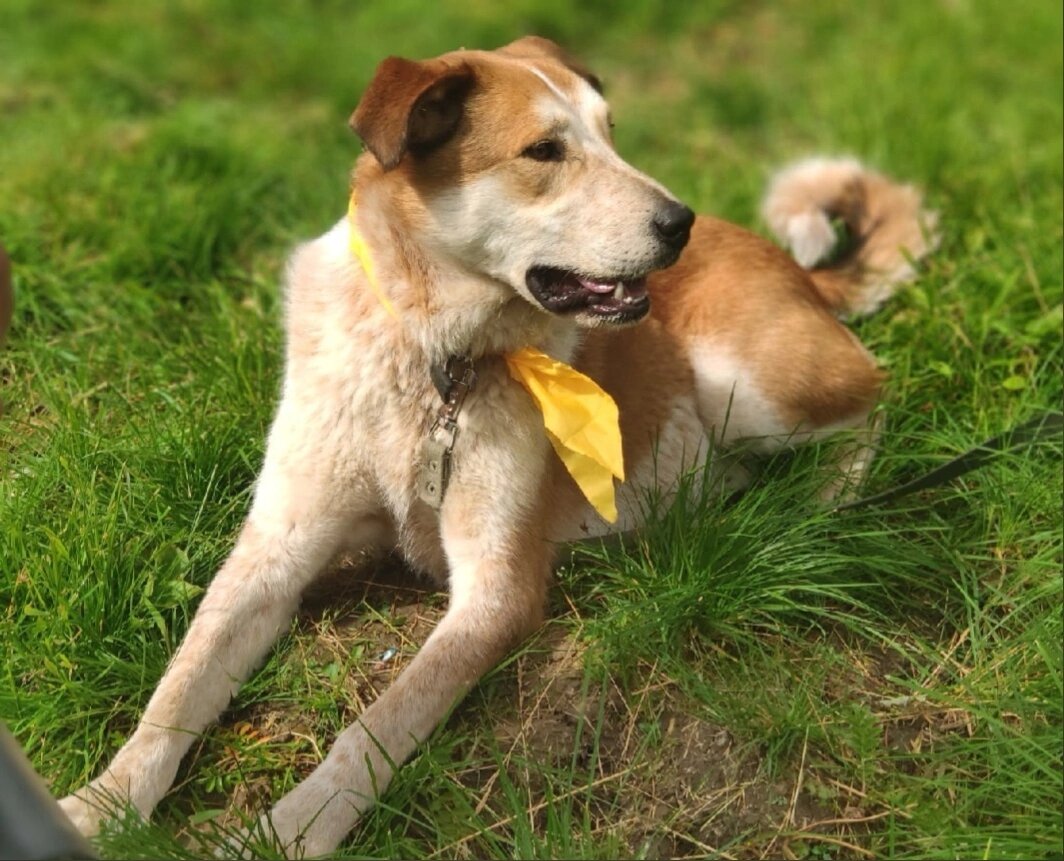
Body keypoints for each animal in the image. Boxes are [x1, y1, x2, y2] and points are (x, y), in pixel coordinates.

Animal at [60, 36, 932, 855]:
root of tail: (795, 269)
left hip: (744, 388)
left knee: (876, 394)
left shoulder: (494, 588)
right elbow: (178, 689)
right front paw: (102, 804)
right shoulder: (276, 548)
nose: (677, 223)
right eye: (544, 151)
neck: (429, 354)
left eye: (611, 132)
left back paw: (821, 503)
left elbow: (380, 724)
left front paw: (286, 833)